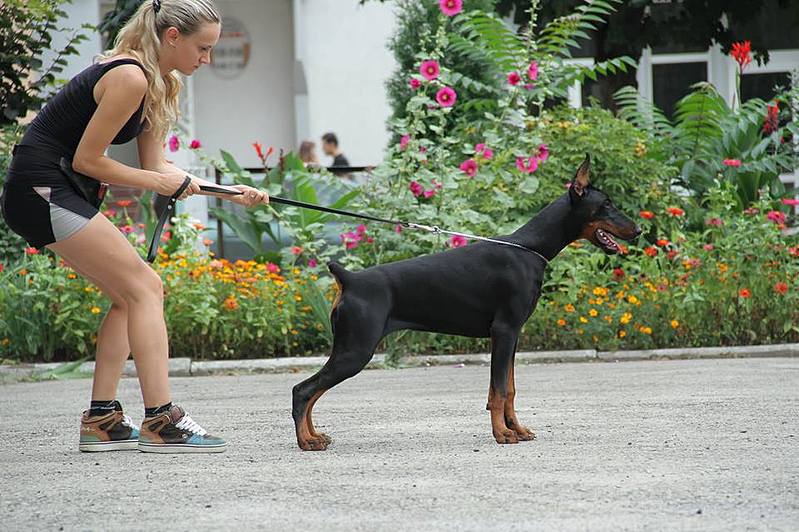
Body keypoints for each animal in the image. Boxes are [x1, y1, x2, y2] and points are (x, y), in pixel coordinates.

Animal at [290, 153, 640, 448]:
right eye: (606, 204)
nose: (637, 230)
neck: (529, 248)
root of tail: (349, 279)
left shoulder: (512, 336)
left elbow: (508, 389)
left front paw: (517, 429)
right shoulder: (504, 330)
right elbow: (499, 390)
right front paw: (502, 434)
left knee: (311, 392)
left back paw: (315, 436)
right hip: (356, 348)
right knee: (303, 390)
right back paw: (306, 440)